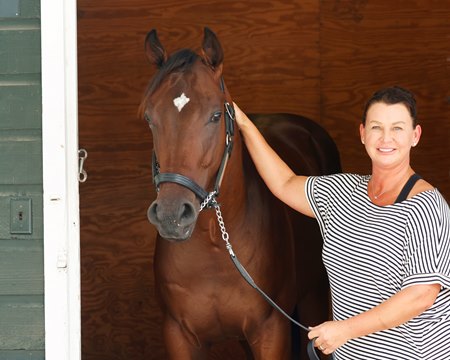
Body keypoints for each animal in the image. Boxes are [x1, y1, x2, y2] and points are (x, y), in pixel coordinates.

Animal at [141, 26, 342, 358]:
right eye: (149, 117)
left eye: (214, 115)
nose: (171, 215)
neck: (214, 246)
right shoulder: (179, 335)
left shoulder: (270, 332)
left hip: (313, 297)